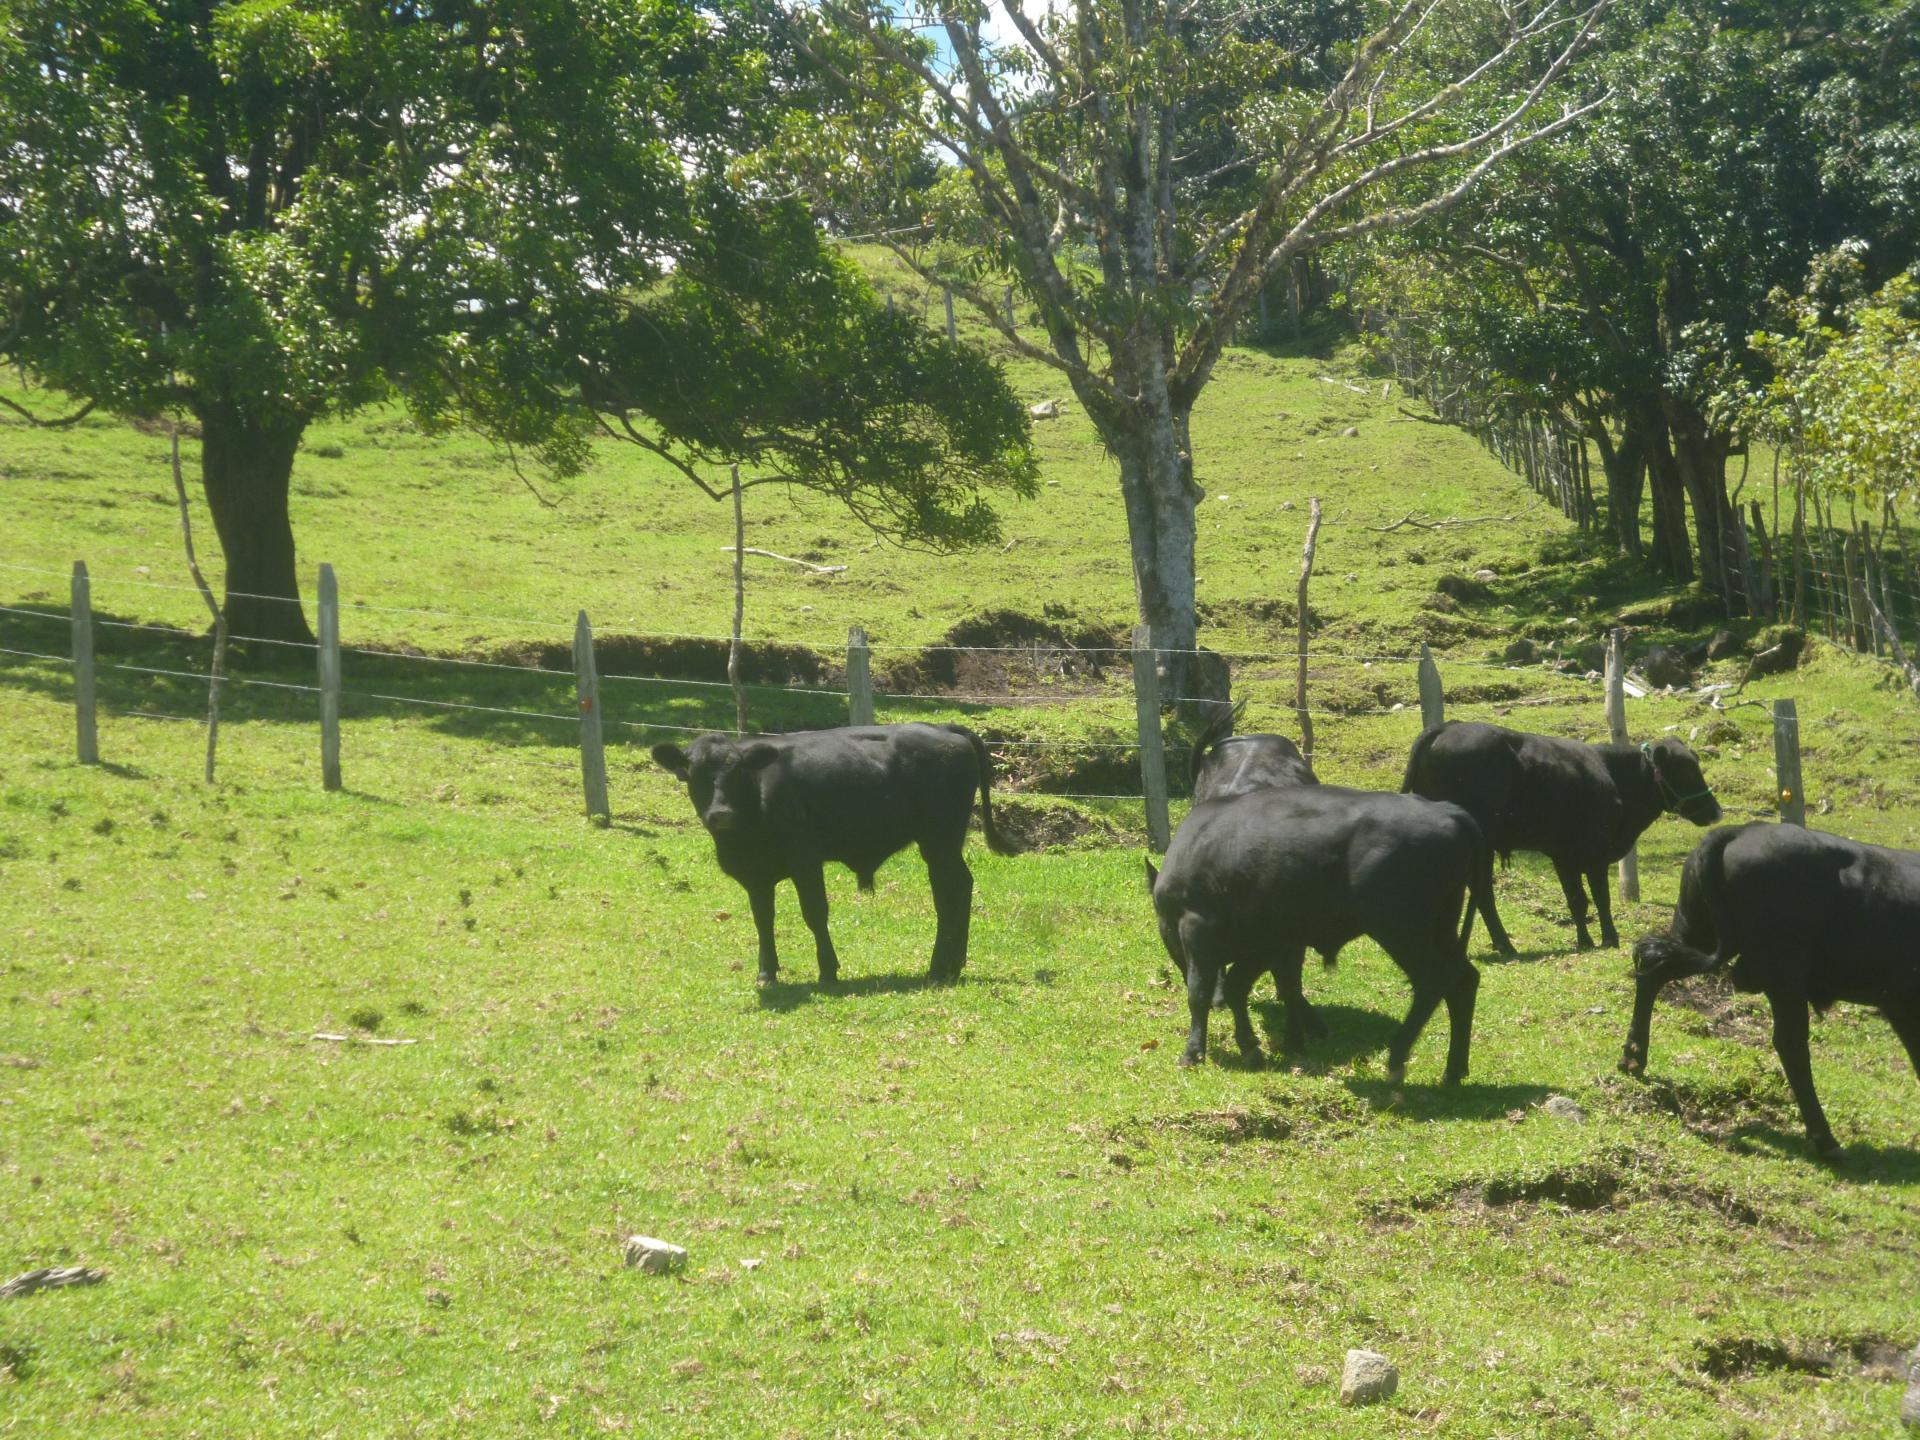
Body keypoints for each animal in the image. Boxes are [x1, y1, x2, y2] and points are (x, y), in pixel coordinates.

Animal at [656, 725, 1021, 990]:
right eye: (694, 775)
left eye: (738, 774)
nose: (720, 814)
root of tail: (946, 729)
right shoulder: (756, 876)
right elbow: (763, 919)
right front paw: (767, 973)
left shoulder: (805, 859)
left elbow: (814, 913)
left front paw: (828, 971)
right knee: (959, 887)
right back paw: (952, 965)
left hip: (939, 840)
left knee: (949, 892)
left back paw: (938, 969)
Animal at [1144, 791, 1489, 1082]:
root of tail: (1447, 810)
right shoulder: (1265, 944)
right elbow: (1238, 988)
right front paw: (1251, 1048)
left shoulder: (1196, 927)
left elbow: (1199, 991)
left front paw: (1192, 1054)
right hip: (1440, 929)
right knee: (1463, 980)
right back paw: (1453, 1071)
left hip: (1402, 931)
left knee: (1433, 982)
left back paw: (1397, 1057)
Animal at [1397, 725, 1728, 952]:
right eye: (1685, 771)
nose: (1716, 811)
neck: (1616, 777)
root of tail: (1447, 726)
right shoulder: (1595, 852)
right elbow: (1601, 897)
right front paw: (1610, 939)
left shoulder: (1563, 854)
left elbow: (1576, 900)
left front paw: (1585, 941)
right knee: (1483, 892)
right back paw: (1505, 946)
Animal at [1620, 821, 1920, 1159]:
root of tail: (1742, 829)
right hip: (1784, 972)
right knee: (1791, 1045)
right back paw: (1826, 1141)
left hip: (1696, 934)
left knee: (1652, 965)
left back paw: (1633, 1057)